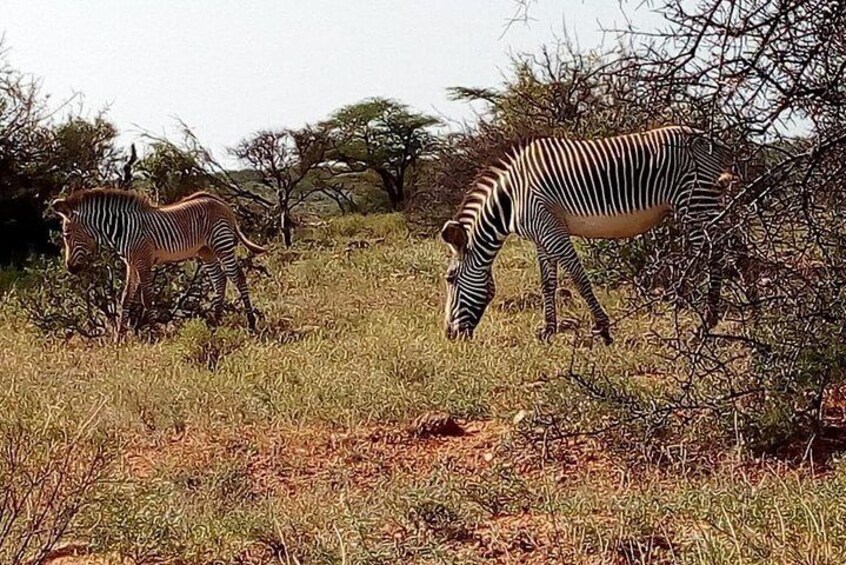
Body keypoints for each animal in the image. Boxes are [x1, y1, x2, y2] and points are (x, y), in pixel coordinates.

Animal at [52, 188, 267, 334]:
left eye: (66, 235)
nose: (70, 268)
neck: (122, 228)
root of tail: (222, 203)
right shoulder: (131, 264)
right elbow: (125, 298)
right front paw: (119, 338)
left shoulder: (143, 262)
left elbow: (146, 299)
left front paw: (154, 335)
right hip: (206, 251)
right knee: (220, 280)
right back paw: (215, 323)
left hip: (221, 244)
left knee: (238, 277)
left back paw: (251, 324)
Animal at [441, 125, 733, 345]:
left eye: (450, 279)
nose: (449, 335)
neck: (510, 199)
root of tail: (712, 140)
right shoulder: (541, 235)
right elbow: (548, 282)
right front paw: (548, 331)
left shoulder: (551, 229)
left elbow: (578, 277)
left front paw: (603, 329)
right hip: (699, 204)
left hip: (694, 202)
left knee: (714, 253)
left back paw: (705, 323)